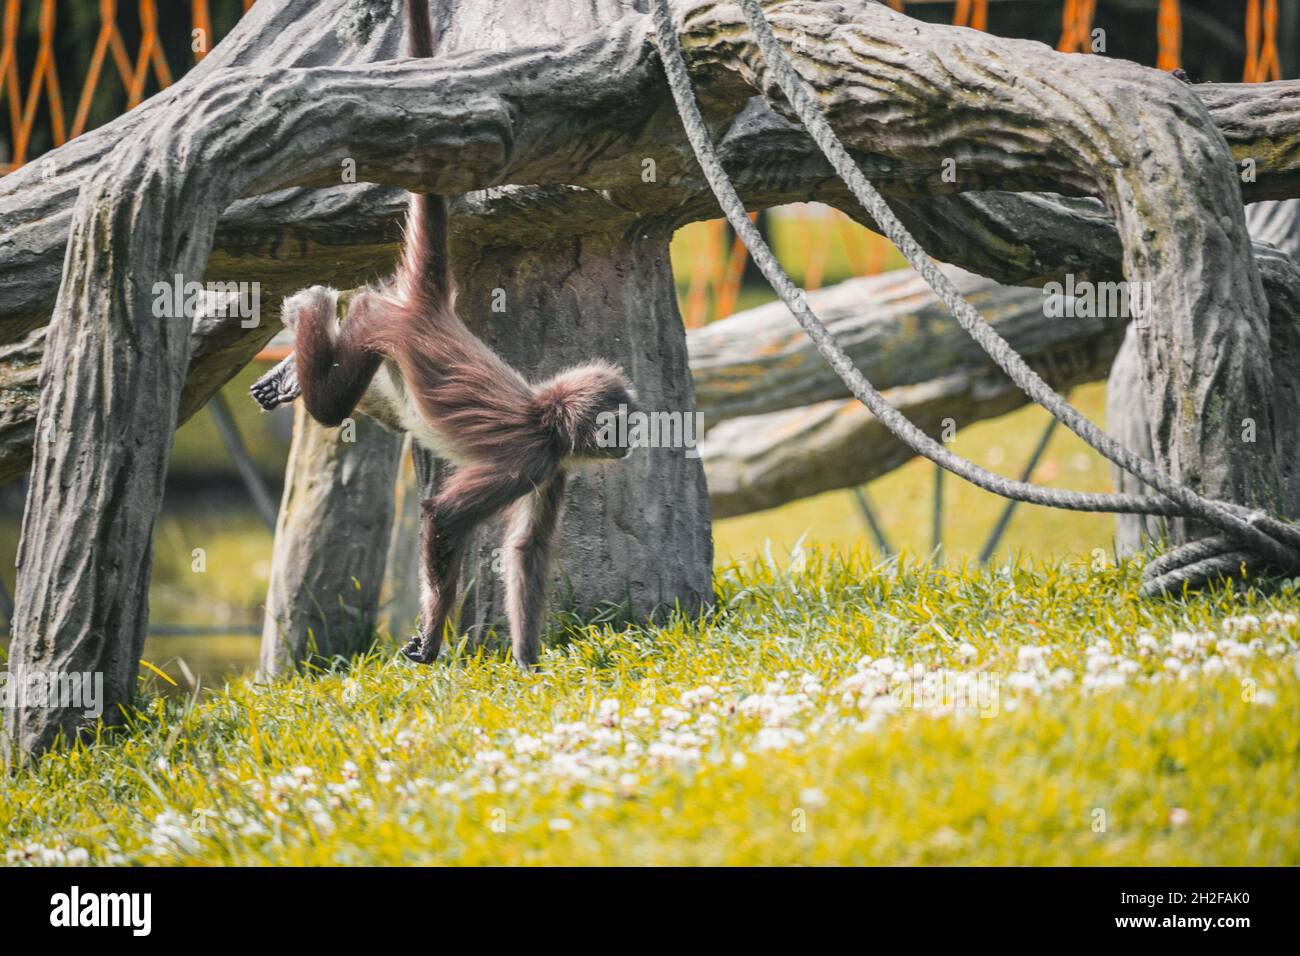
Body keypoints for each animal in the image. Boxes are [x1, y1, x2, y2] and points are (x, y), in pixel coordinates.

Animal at [258, 0, 636, 669]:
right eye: (620, 423)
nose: (633, 441)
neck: (544, 416)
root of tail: (431, 309)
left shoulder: (554, 467)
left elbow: (526, 551)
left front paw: (529, 662)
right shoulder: (529, 458)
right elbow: (443, 517)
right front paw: (433, 635)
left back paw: (291, 367)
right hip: (378, 326)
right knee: (336, 390)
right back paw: (312, 308)